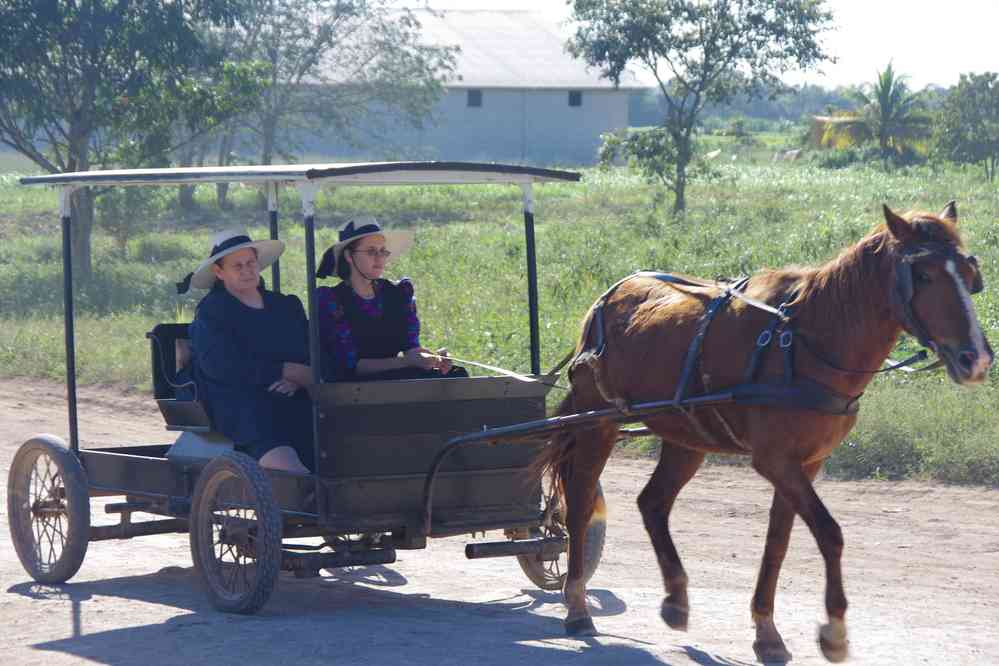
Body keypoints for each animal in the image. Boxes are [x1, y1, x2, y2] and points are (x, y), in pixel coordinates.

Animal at [540, 201, 992, 660]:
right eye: (924, 275)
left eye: (969, 273)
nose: (976, 359)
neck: (807, 339)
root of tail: (606, 299)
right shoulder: (775, 461)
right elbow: (829, 533)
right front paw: (834, 632)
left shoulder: (806, 464)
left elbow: (779, 541)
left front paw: (767, 631)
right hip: (597, 423)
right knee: (579, 504)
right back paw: (577, 605)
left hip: (687, 436)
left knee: (653, 503)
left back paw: (676, 598)